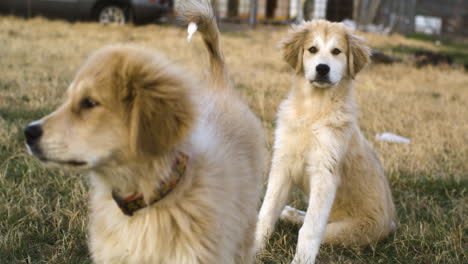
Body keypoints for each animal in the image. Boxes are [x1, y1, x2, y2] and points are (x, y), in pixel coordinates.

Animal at [256, 20, 394, 264]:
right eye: (312, 49)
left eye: (336, 51)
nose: (322, 68)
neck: (314, 110)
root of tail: (391, 225)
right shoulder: (283, 166)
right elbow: (266, 213)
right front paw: (252, 248)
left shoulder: (325, 174)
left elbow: (310, 230)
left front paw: (301, 260)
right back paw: (289, 212)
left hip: (342, 232)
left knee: (313, 226)